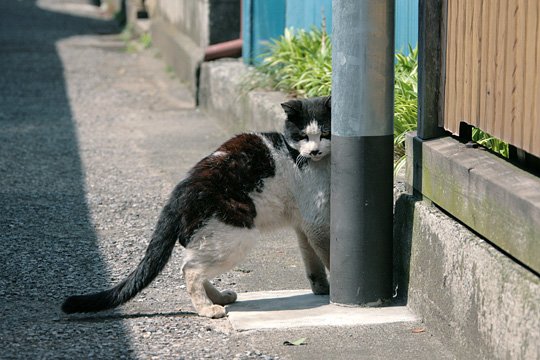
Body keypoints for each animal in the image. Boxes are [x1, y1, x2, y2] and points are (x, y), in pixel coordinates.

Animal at [61, 95, 332, 318]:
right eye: (303, 136)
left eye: (325, 133)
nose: (314, 151)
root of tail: (180, 191)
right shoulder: (317, 222)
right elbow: (327, 257)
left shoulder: (303, 225)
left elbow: (312, 261)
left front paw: (321, 288)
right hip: (234, 236)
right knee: (190, 270)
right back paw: (207, 309)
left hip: (211, 237)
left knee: (190, 265)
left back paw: (219, 297)